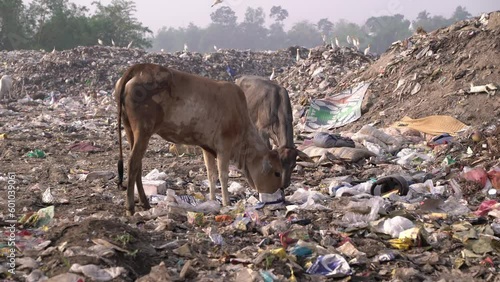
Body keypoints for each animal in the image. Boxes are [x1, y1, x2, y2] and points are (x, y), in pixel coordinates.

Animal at [114, 62, 284, 215]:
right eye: (277, 173)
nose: (278, 195)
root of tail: (139, 68)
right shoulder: (224, 146)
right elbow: (223, 175)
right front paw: (226, 202)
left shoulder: (207, 147)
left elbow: (211, 174)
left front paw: (213, 200)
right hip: (143, 130)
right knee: (133, 163)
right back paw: (130, 206)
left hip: (130, 130)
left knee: (138, 165)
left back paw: (144, 202)